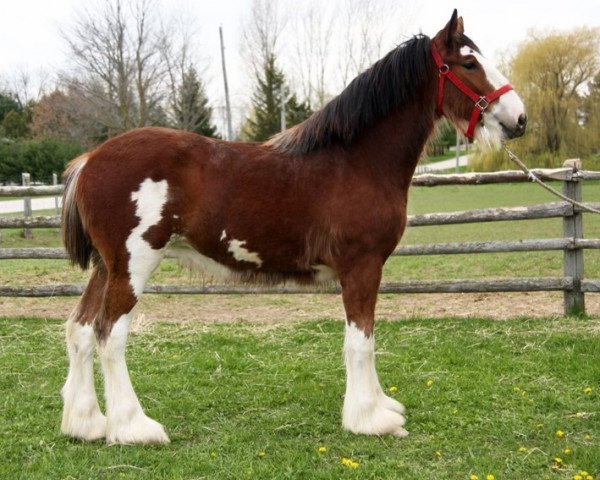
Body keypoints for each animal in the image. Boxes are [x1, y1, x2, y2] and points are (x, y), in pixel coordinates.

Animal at [61, 11, 524, 444]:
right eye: (468, 63)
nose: (519, 118)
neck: (357, 161)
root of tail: (90, 159)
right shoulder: (362, 267)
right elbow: (361, 341)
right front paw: (370, 419)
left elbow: (366, 339)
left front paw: (379, 406)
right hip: (133, 265)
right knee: (109, 334)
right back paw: (133, 427)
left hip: (107, 267)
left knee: (81, 329)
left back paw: (86, 424)